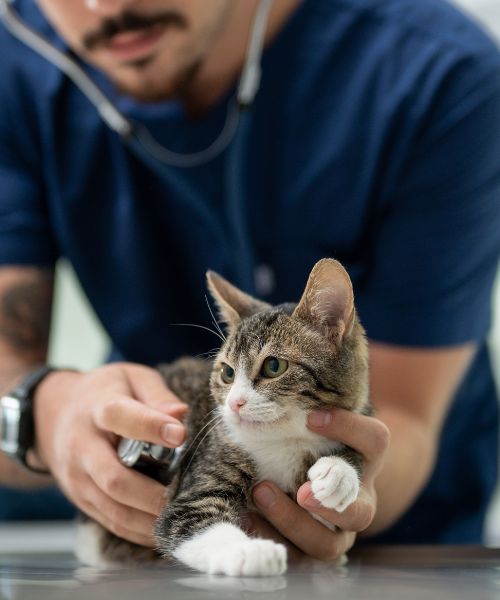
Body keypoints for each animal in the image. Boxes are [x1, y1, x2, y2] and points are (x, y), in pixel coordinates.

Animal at [77, 258, 372, 576]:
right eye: (227, 372)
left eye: (274, 366)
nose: (234, 403)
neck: (284, 442)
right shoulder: (201, 468)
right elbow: (189, 519)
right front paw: (250, 551)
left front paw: (338, 473)